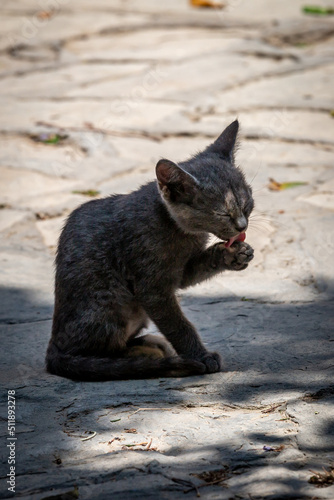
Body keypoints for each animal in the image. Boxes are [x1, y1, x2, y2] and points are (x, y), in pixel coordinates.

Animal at [46, 120, 253, 378]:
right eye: (223, 213)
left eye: (248, 204)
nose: (242, 225)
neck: (183, 233)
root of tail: (53, 347)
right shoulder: (151, 287)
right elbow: (178, 325)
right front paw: (200, 355)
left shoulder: (180, 273)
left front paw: (232, 255)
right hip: (109, 304)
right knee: (98, 355)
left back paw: (150, 344)